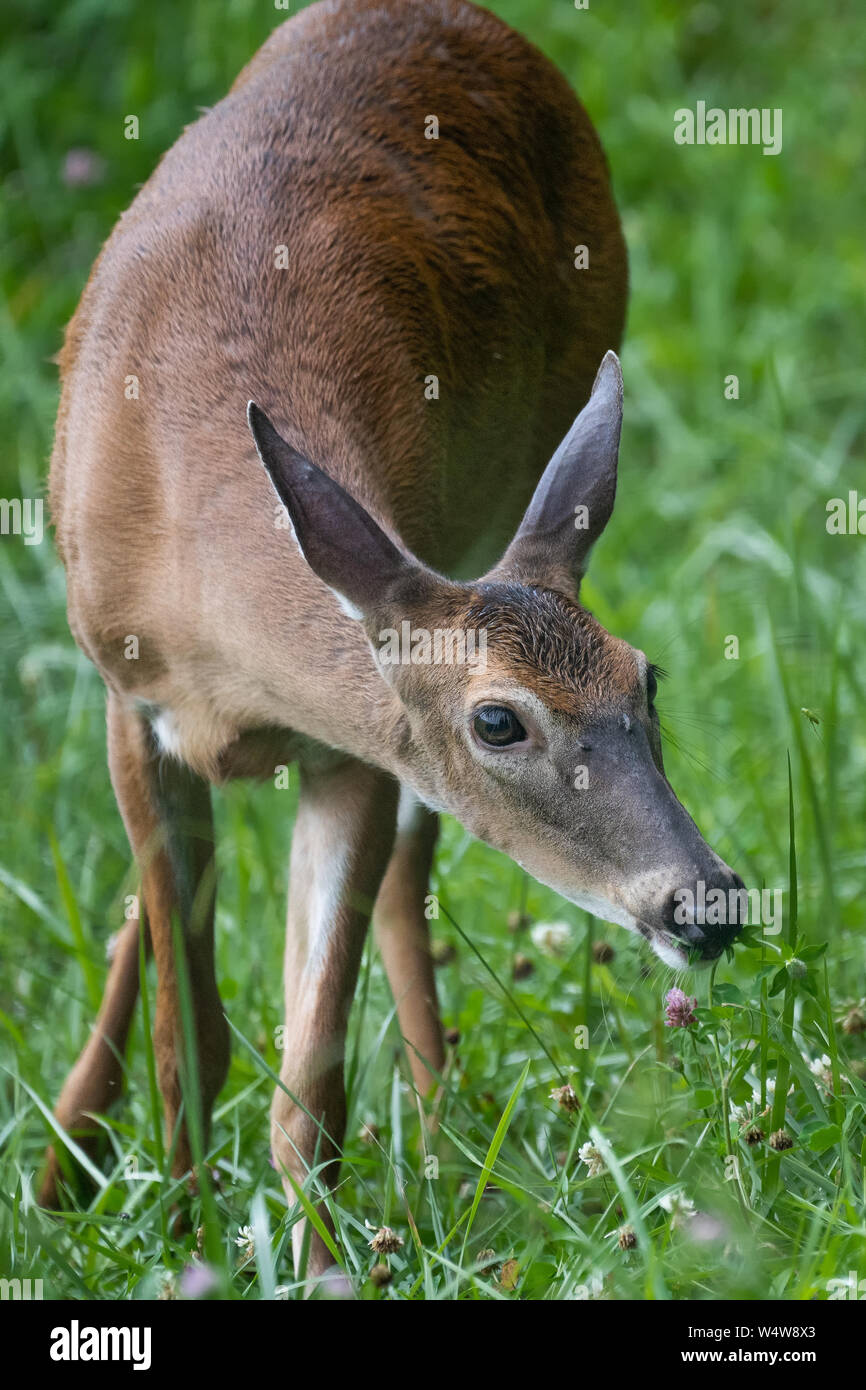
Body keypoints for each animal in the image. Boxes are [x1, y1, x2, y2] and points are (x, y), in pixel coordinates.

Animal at [42, 0, 745, 1278]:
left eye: (647, 678)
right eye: (498, 717)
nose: (703, 903)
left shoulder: (359, 745)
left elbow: (309, 1070)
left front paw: (320, 1262)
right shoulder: (131, 705)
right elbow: (191, 1036)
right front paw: (185, 1238)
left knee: (408, 874)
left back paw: (437, 1124)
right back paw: (64, 1162)